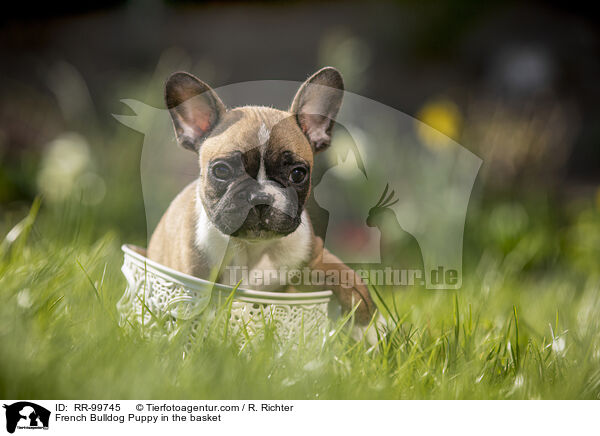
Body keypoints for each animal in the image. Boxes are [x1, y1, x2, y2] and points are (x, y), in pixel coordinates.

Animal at [147, 68, 376, 326]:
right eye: (221, 171)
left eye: (298, 174)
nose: (260, 197)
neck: (252, 249)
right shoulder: (190, 280)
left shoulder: (314, 257)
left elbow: (348, 279)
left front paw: (369, 323)